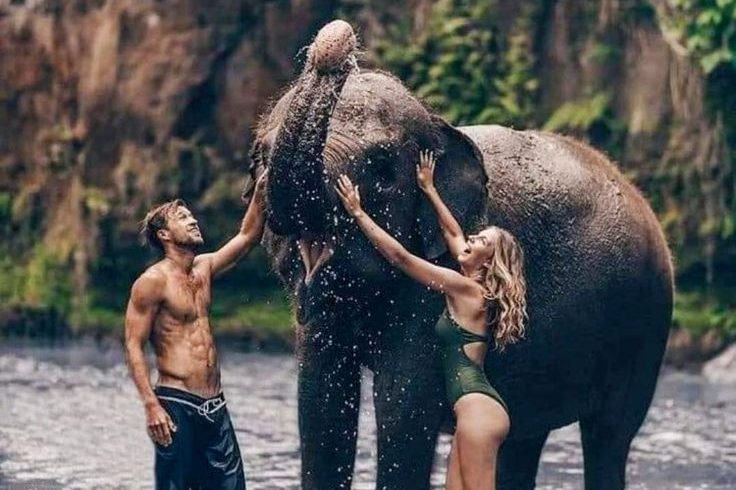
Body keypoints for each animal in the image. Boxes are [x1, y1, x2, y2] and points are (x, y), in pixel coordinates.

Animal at [243, 20, 673, 490]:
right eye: (260, 157)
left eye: (382, 170)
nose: (335, 43)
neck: (440, 124)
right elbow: (320, 398)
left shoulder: (436, 279)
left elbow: (402, 402)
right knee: (523, 437)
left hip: (644, 322)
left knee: (609, 434)